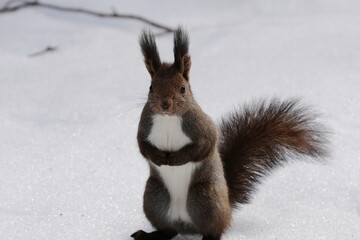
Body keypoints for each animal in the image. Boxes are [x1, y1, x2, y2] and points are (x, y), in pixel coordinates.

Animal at [131, 27, 328, 240]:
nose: (164, 104)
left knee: (214, 229)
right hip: (154, 195)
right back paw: (147, 234)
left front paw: (176, 158)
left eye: (183, 89)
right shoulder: (144, 126)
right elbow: (142, 145)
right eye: (151, 88)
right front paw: (157, 157)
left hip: (205, 197)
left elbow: (205, 145)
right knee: (168, 230)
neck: (168, 119)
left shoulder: (202, 127)